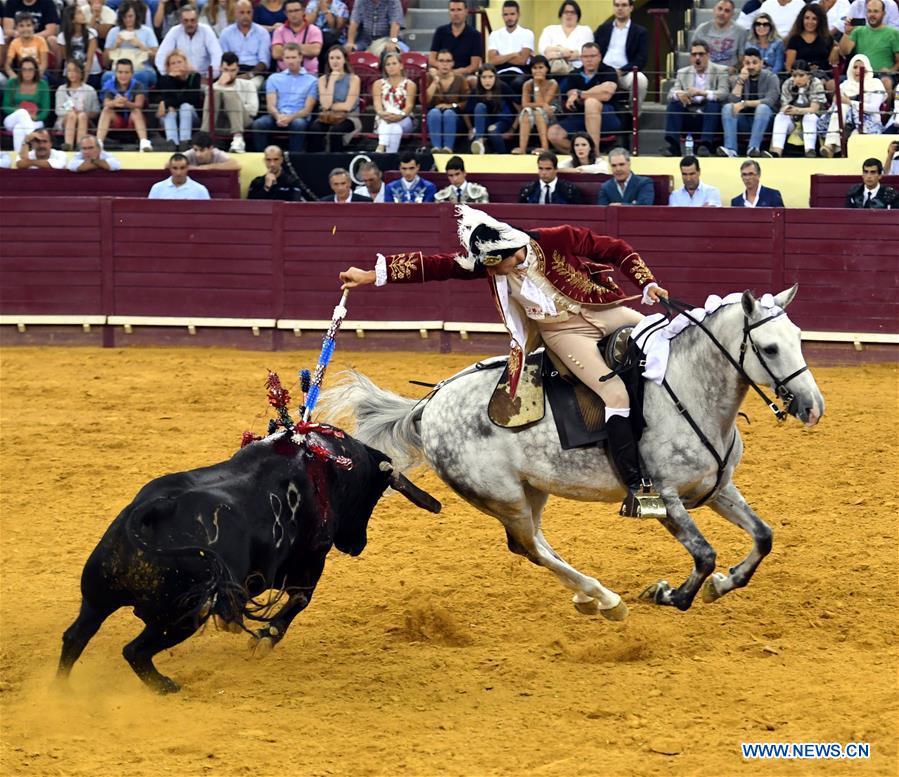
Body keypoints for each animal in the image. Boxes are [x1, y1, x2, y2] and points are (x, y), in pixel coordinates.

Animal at [54, 430, 442, 692]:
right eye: (375, 494)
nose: (356, 544)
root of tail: (153, 510)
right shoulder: (310, 560)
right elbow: (300, 599)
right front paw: (265, 639)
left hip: (98, 596)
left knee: (75, 637)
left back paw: (61, 692)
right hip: (181, 617)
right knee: (134, 651)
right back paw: (165, 686)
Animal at [322, 288, 824, 620]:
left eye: (799, 337)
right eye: (769, 348)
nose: (812, 407)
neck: (688, 388)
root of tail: (429, 403)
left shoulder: (719, 489)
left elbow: (763, 537)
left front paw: (722, 586)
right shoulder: (663, 498)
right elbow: (704, 554)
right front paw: (669, 594)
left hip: (531, 490)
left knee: (538, 541)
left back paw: (590, 595)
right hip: (502, 496)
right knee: (527, 546)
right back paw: (606, 599)